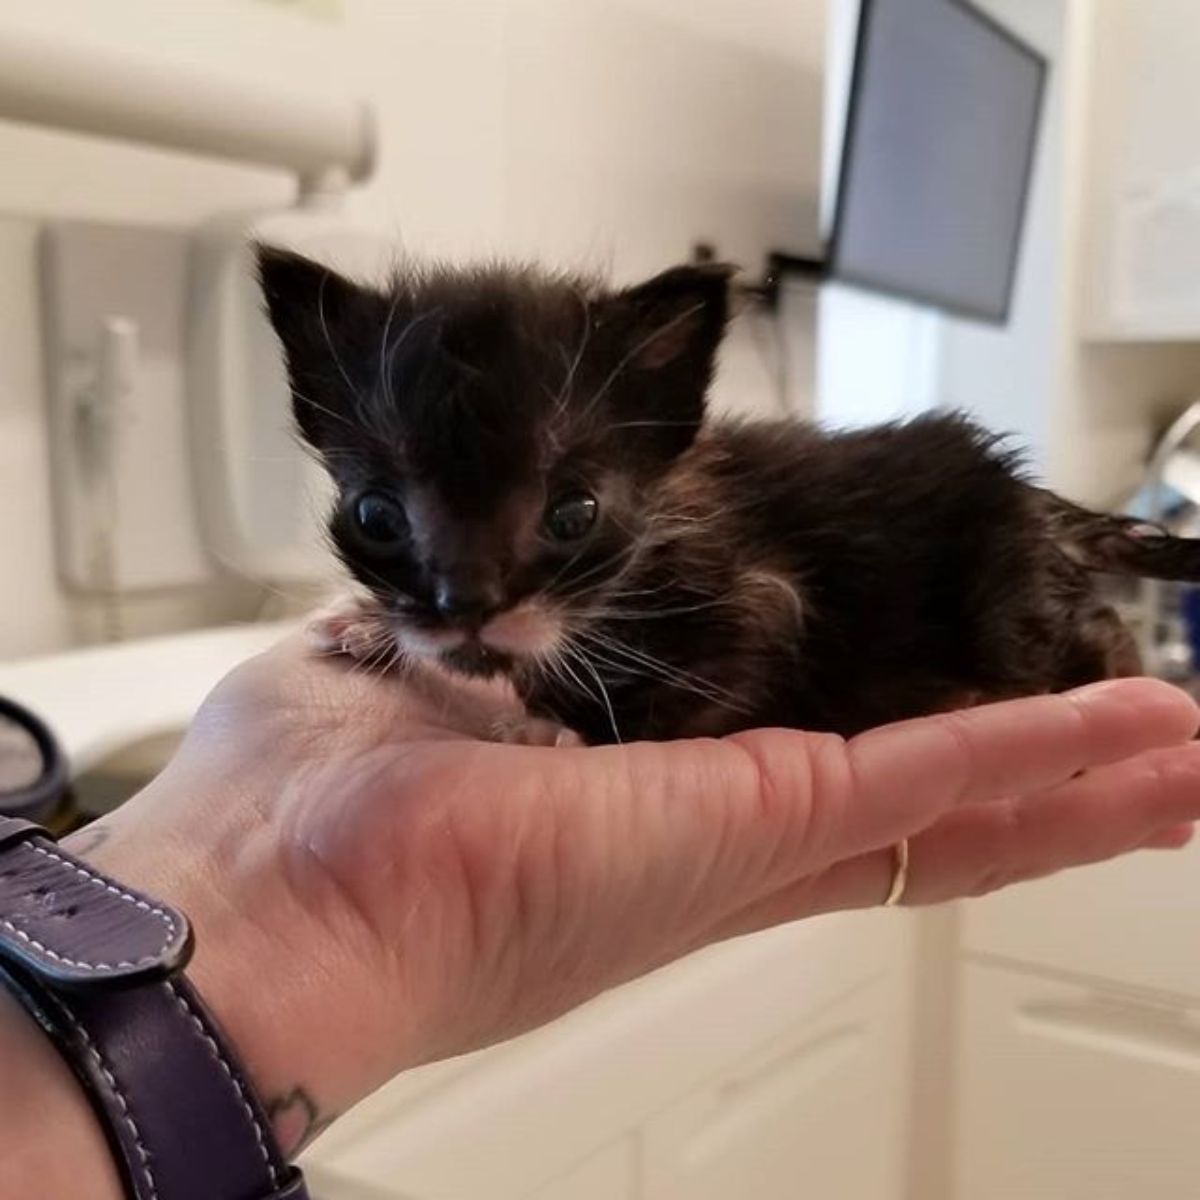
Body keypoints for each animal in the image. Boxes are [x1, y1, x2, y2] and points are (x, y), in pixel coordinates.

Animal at [258, 246, 1195, 739]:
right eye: (376, 516)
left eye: (574, 514)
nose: (464, 604)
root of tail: (1043, 508)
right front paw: (367, 625)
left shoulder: (766, 604)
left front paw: (559, 727)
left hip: (1013, 609)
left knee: (1098, 633)